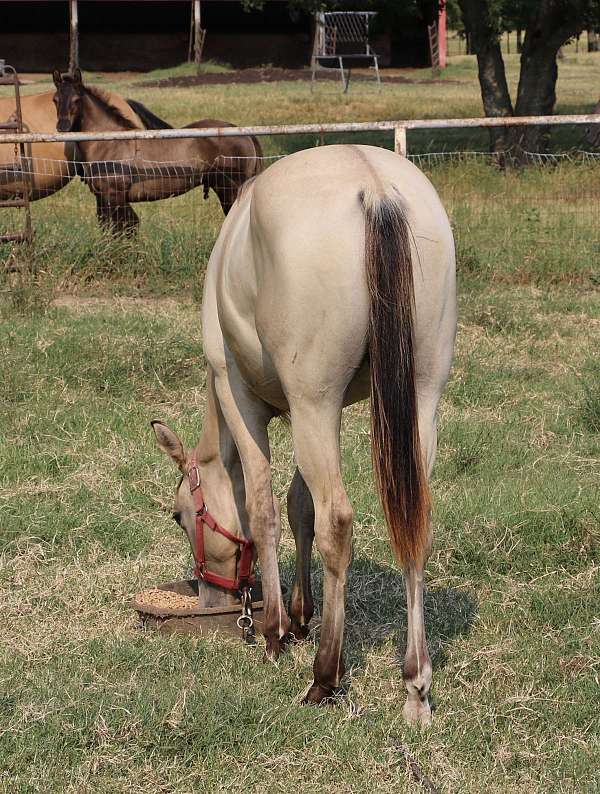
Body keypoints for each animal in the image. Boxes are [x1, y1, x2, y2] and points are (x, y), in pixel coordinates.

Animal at [52, 69, 263, 234]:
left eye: (76, 99)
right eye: (55, 100)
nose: (62, 126)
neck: (108, 142)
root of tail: (244, 133)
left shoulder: (115, 196)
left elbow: (123, 230)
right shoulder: (102, 197)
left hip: (230, 190)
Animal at [152, 144, 457, 724]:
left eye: (181, 516)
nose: (208, 597)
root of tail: (374, 188)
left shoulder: (245, 400)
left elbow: (265, 510)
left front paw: (274, 630)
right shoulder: (306, 414)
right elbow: (299, 507)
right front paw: (299, 615)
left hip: (317, 404)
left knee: (338, 520)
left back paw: (325, 676)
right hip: (418, 401)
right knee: (414, 526)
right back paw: (416, 684)